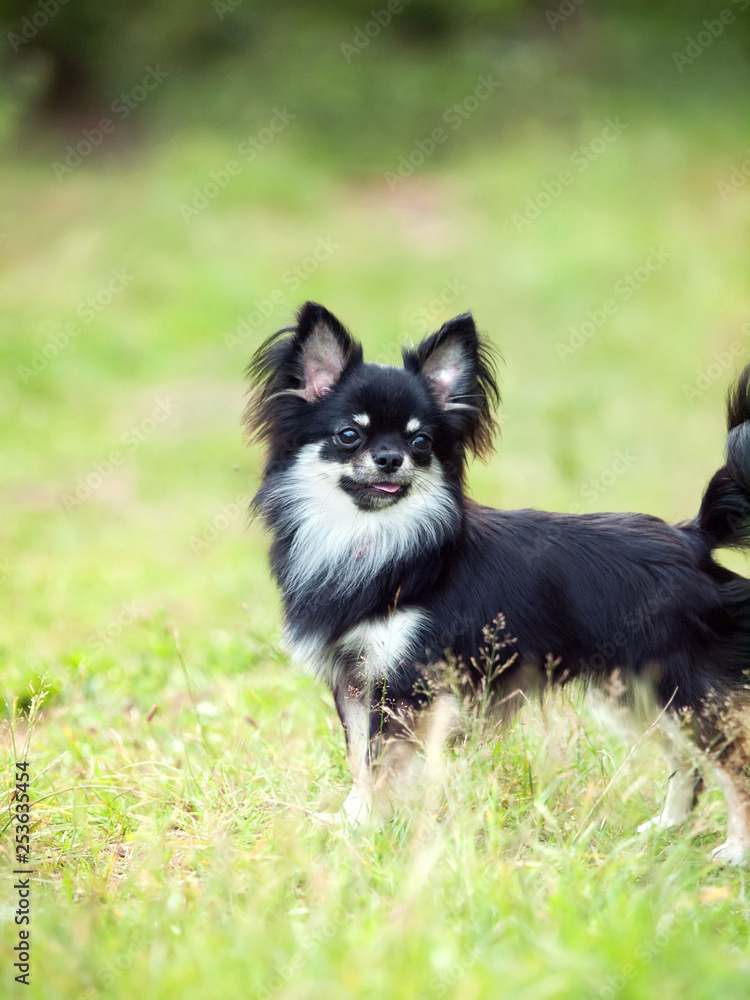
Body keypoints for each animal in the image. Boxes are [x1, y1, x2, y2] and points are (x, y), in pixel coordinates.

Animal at [245, 298, 750, 860]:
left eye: (421, 442)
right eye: (349, 435)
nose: (391, 458)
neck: (372, 537)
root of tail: (692, 538)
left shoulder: (405, 687)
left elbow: (379, 764)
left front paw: (366, 828)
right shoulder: (357, 683)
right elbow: (360, 760)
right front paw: (351, 824)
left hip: (685, 692)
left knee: (733, 767)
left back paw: (735, 851)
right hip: (638, 695)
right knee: (687, 762)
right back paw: (666, 830)